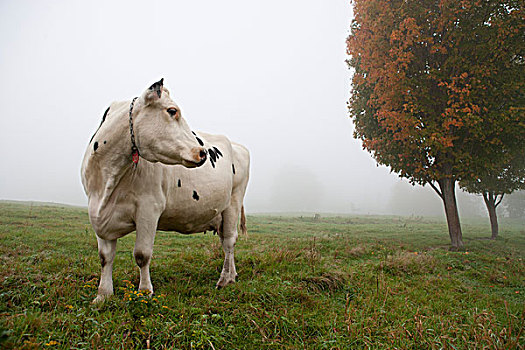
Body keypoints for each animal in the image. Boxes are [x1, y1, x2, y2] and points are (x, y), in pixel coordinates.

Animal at [80, 79, 250, 304]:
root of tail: (238, 146)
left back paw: (226, 279)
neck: (107, 179)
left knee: (230, 241)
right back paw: (233, 274)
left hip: (233, 201)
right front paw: (103, 295)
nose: (202, 152)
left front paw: (145, 291)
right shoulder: (97, 212)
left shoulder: (148, 208)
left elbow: (142, 254)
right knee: (225, 241)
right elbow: (105, 257)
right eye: (172, 111)